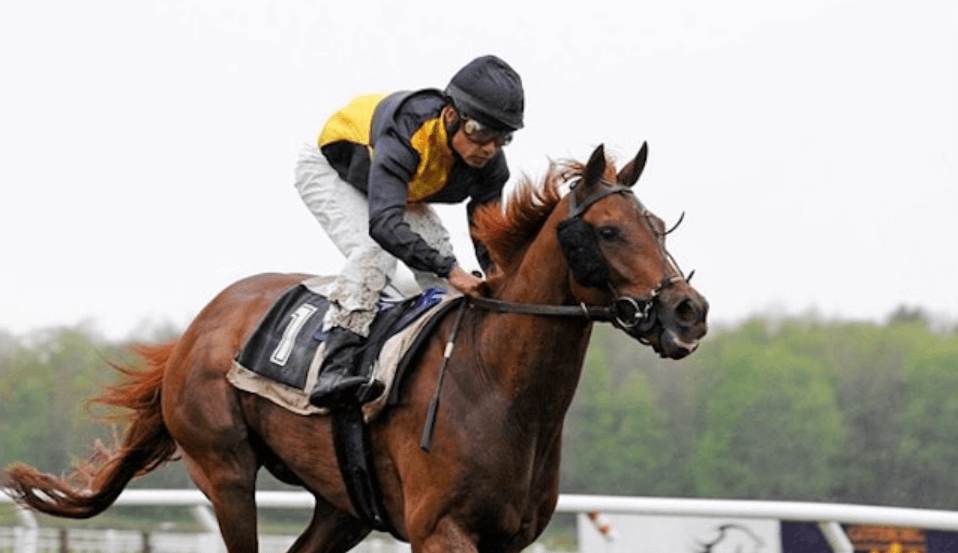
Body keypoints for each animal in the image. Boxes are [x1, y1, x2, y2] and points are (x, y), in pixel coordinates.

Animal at [4, 143, 708, 553]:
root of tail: (198, 327)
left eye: (658, 226)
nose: (689, 312)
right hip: (224, 470)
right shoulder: (441, 532)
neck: (498, 386)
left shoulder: (508, 540)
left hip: (343, 505)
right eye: (609, 231)